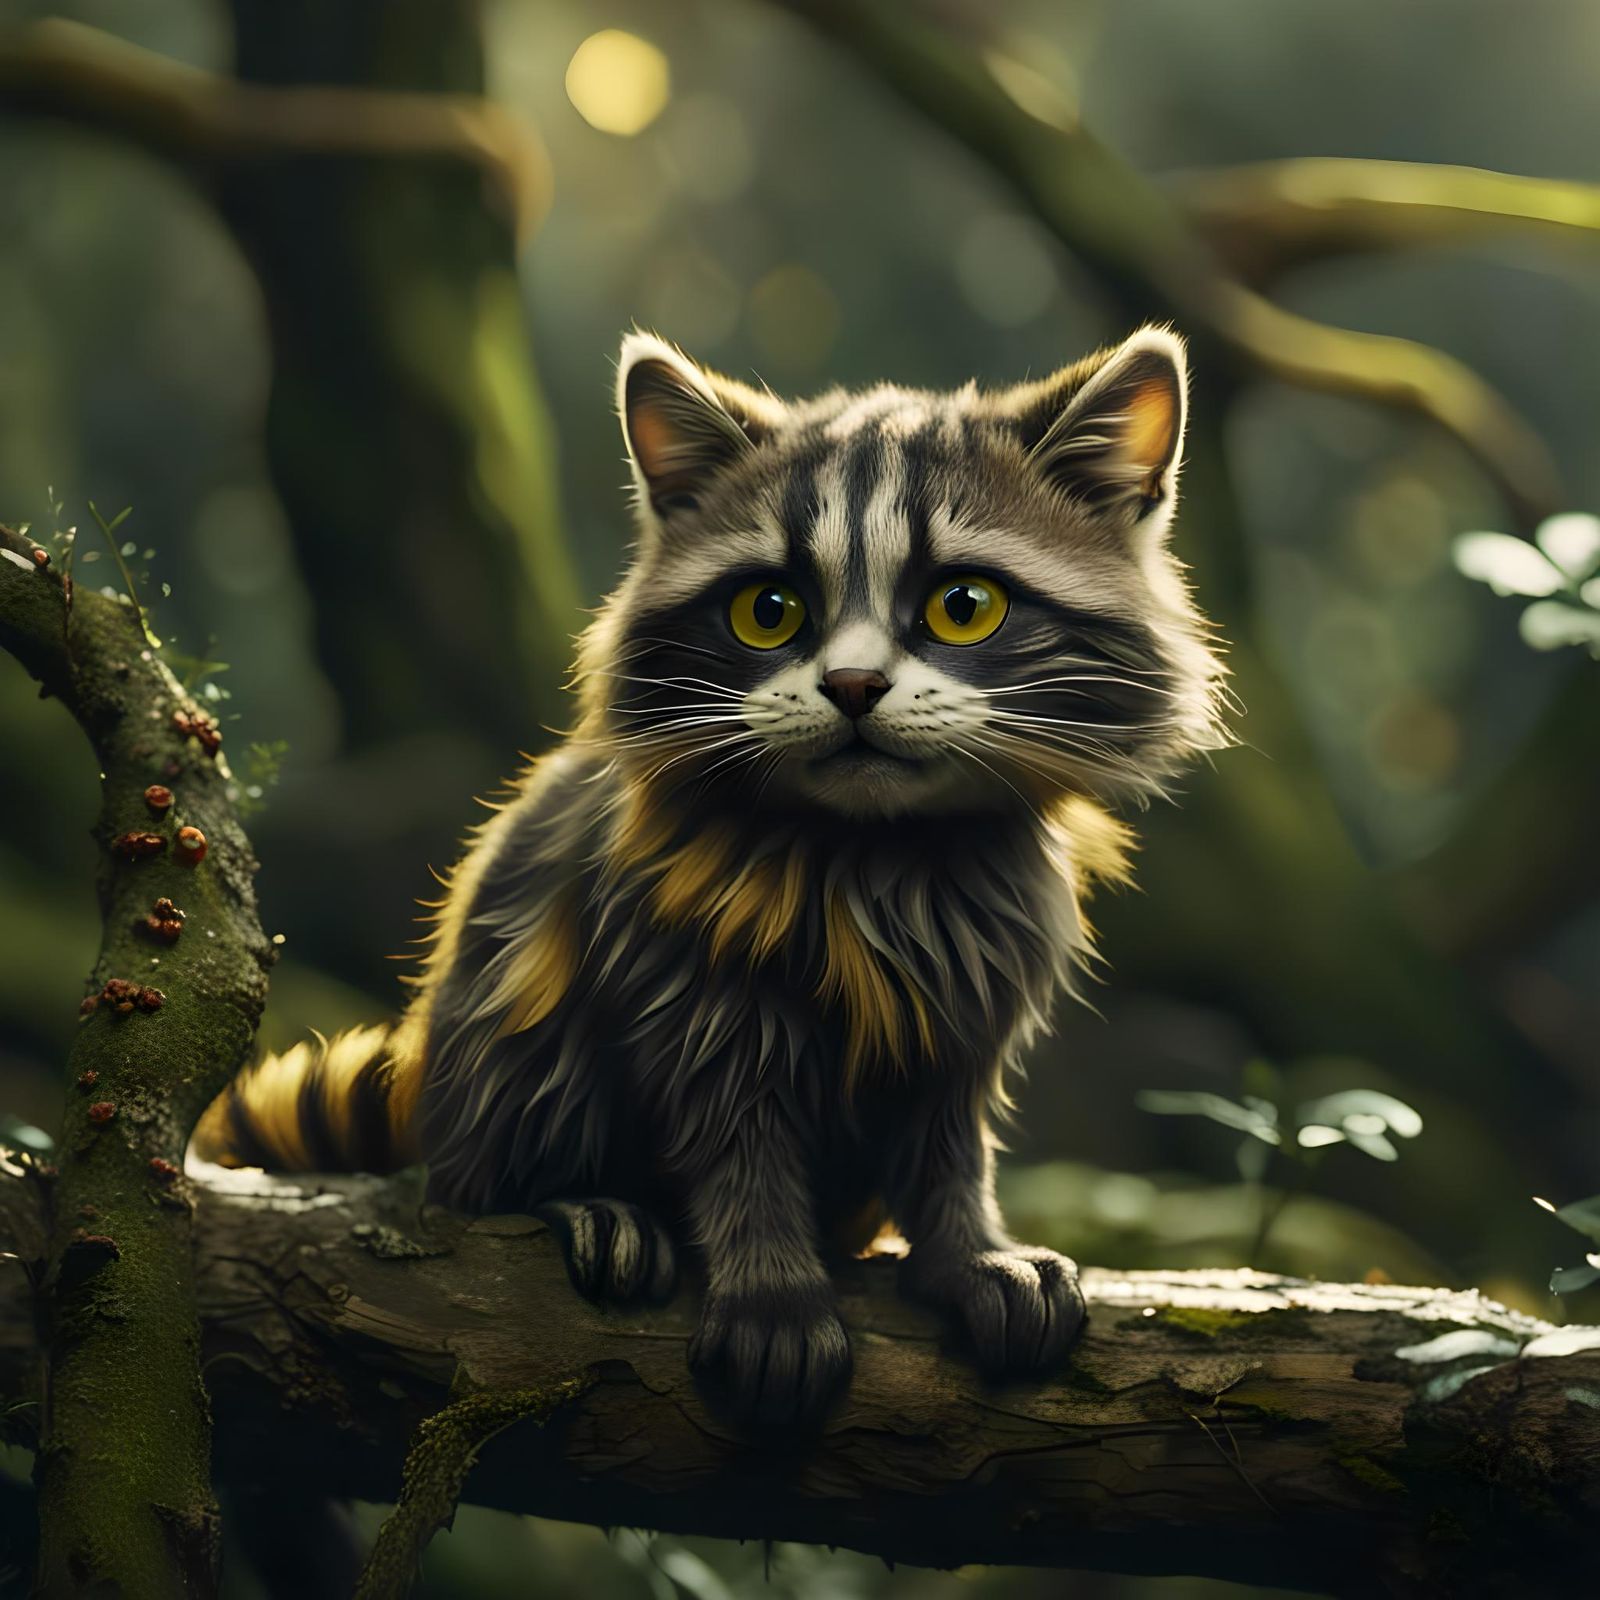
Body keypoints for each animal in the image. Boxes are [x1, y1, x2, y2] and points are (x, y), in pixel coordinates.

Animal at [193, 325, 1229, 1424]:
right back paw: (576, 1201)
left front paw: (965, 1247)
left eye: (963, 607)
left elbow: (946, 1127)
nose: (852, 686)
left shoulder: (980, 962)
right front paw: (770, 1280)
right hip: (498, 1027)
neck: (879, 842)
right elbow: (731, 1127)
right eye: (769, 610)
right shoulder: (667, 943)